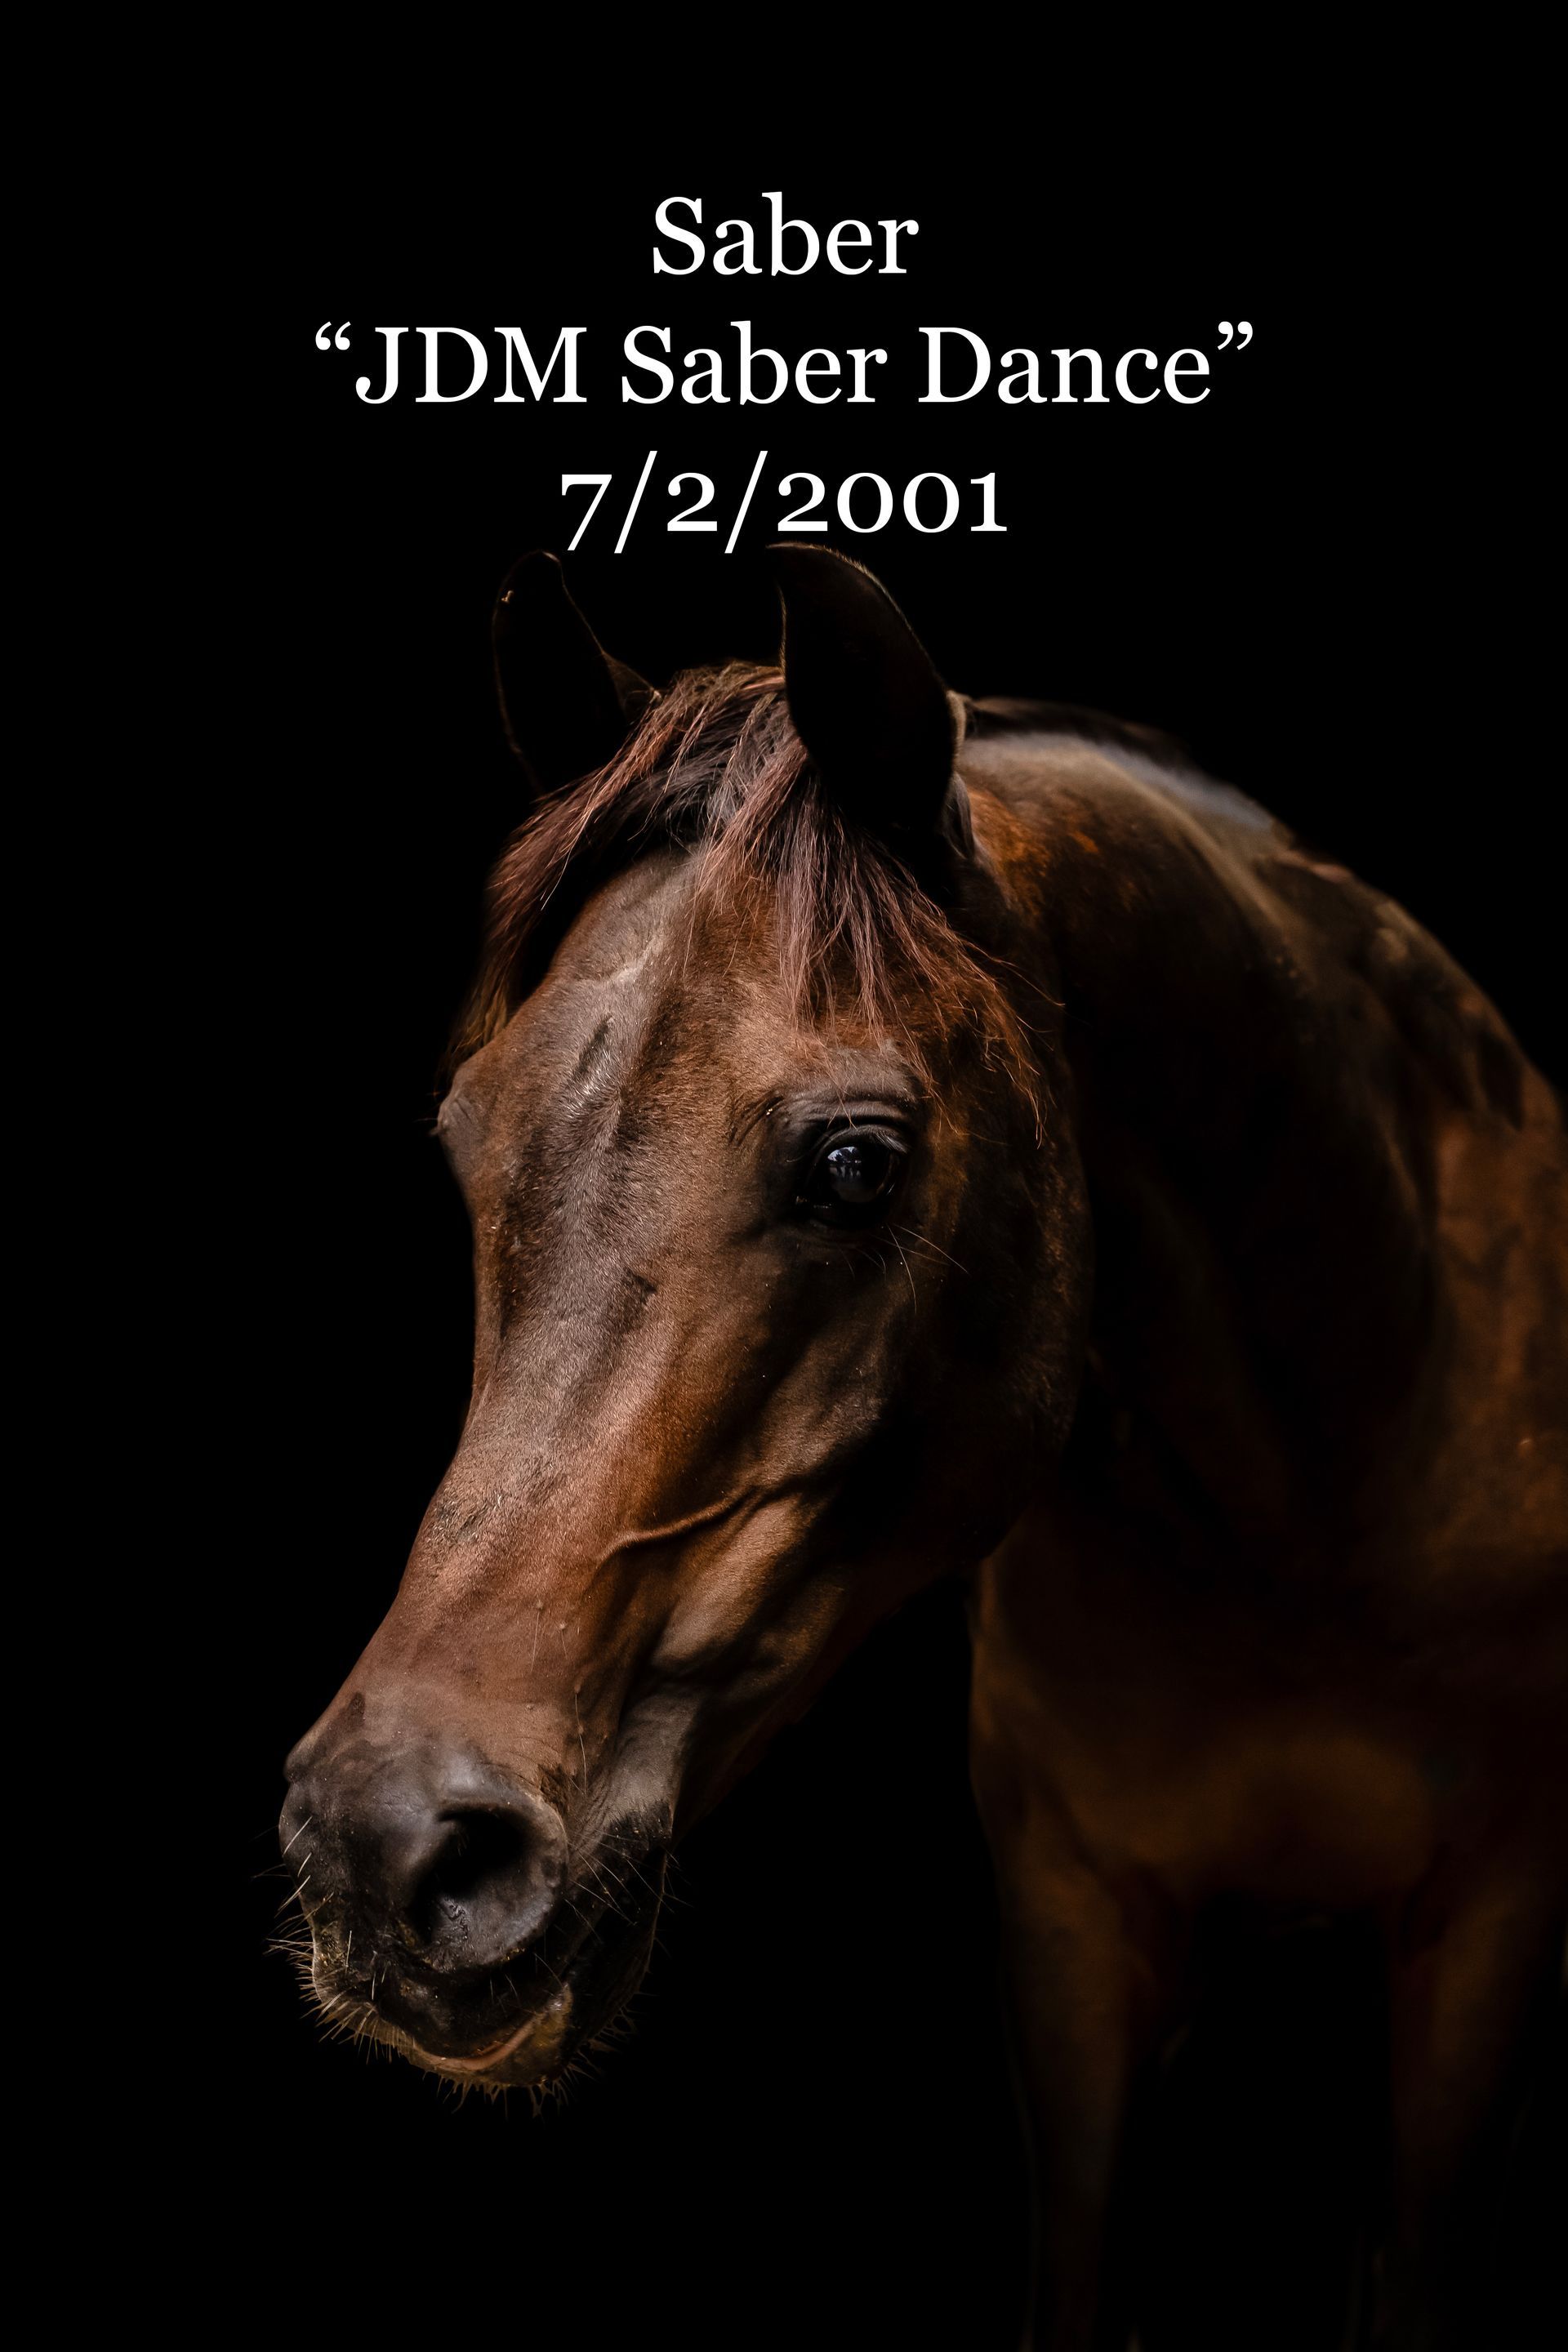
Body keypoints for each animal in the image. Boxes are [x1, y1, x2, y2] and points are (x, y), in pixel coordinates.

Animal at [280, 545, 1566, 2349]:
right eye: (469, 1139)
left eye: (855, 1162)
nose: (388, 1845)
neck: (1316, 1500)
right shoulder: (1073, 1927)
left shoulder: (1488, 1935)